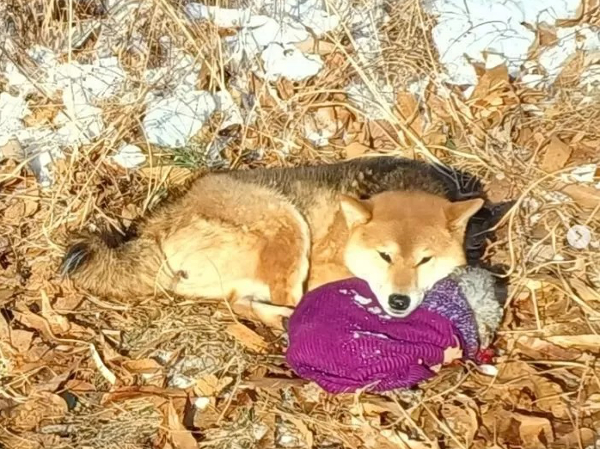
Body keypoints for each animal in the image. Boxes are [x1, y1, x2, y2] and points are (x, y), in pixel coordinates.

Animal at [61, 156, 486, 328]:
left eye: (424, 261)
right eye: (384, 256)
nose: (399, 302)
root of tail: (156, 223)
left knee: (240, 302)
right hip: (288, 223)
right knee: (283, 303)